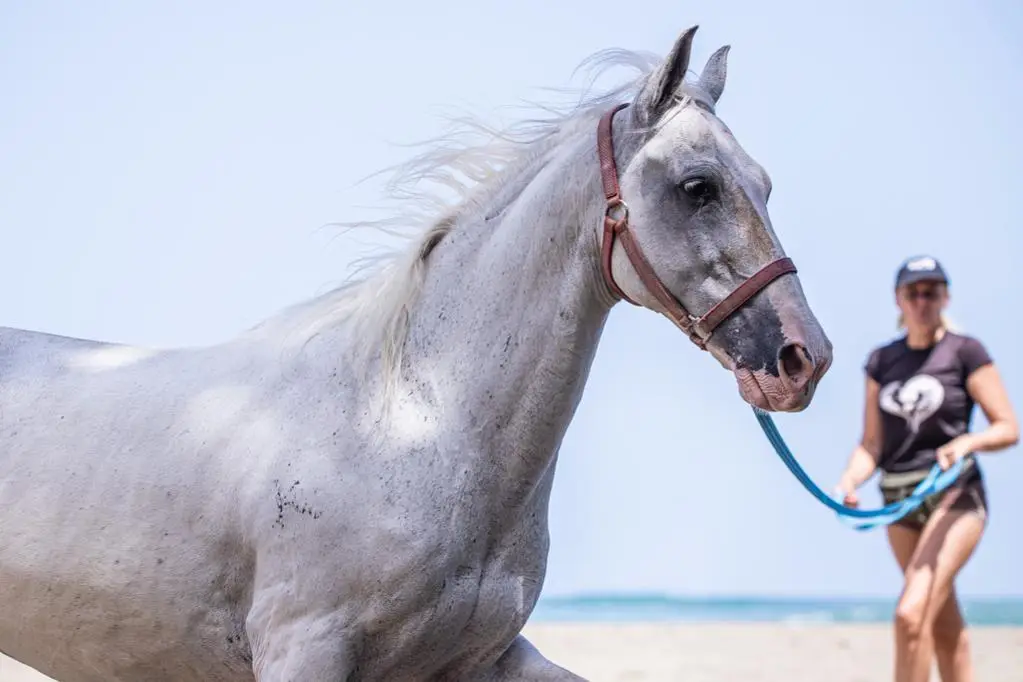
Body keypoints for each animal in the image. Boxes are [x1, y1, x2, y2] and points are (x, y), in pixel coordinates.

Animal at [0, 25, 832, 681]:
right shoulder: (304, 652)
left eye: (763, 184)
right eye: (697, 186)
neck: (411, 423)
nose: (803, 359)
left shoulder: (482, 660)